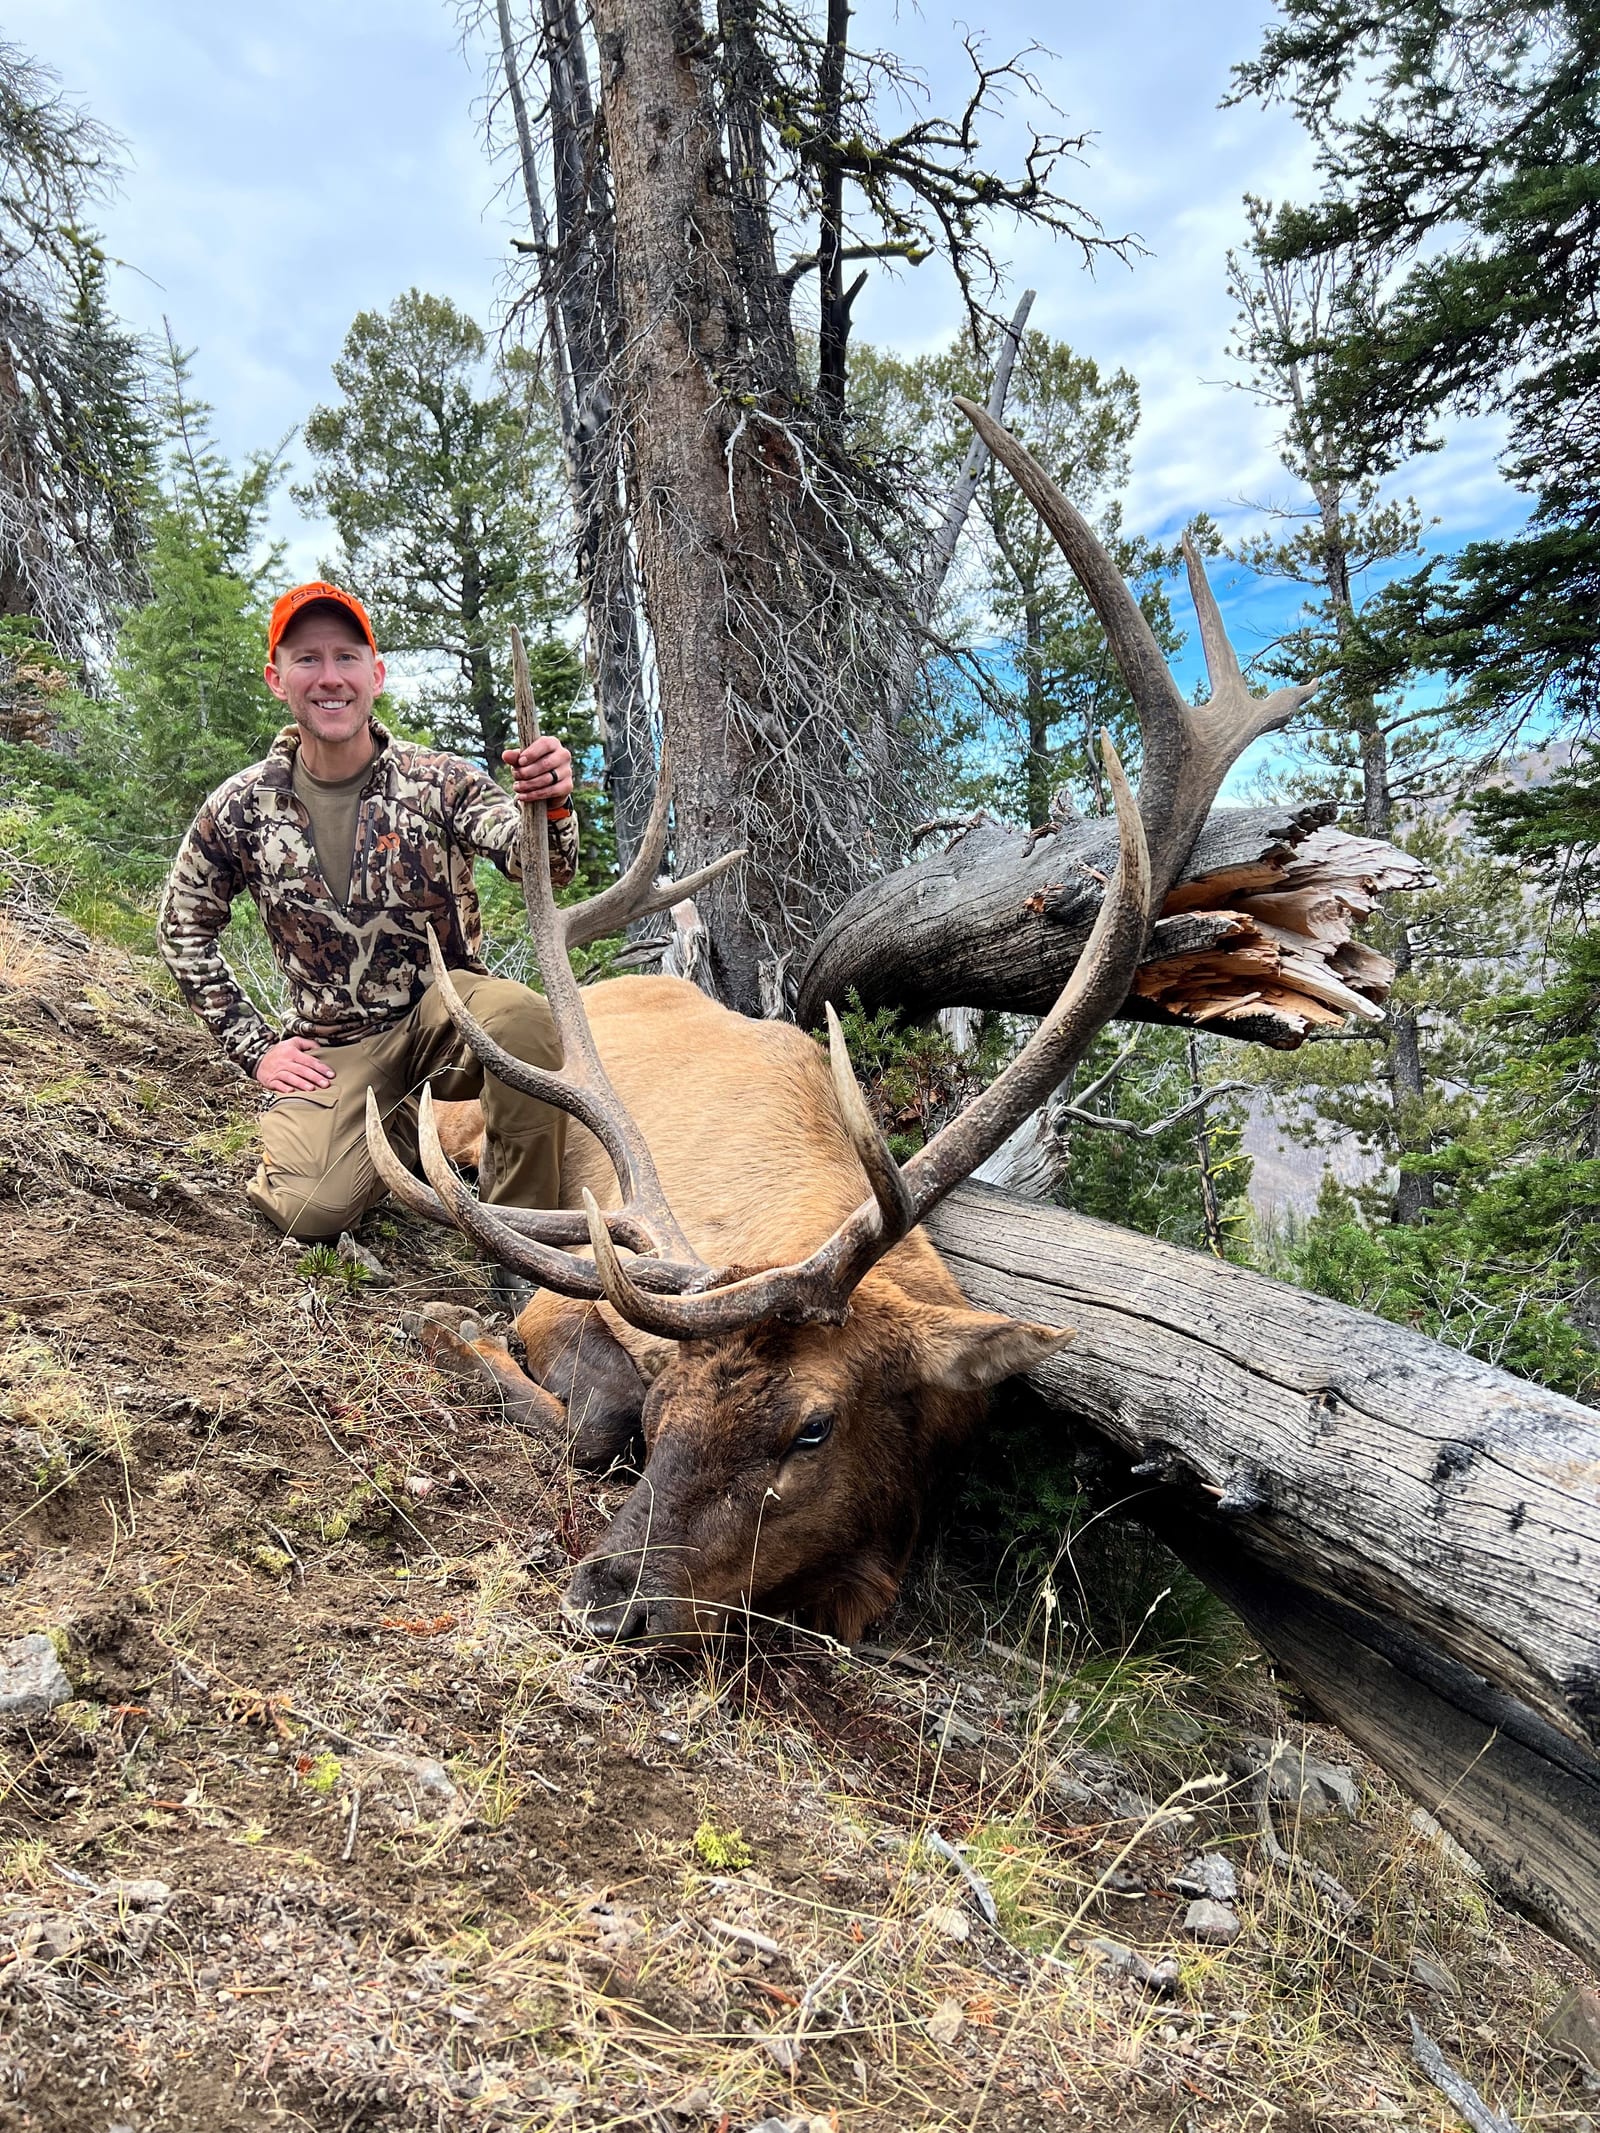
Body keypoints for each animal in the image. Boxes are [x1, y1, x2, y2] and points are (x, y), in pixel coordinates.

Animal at [365, 401, 1315, 1645]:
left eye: (811, 1426)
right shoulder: (593, 1305)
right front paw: (455, 1333)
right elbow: (587, 1418)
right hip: (470, 1120)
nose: (601, 1599)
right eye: (671, 1398)